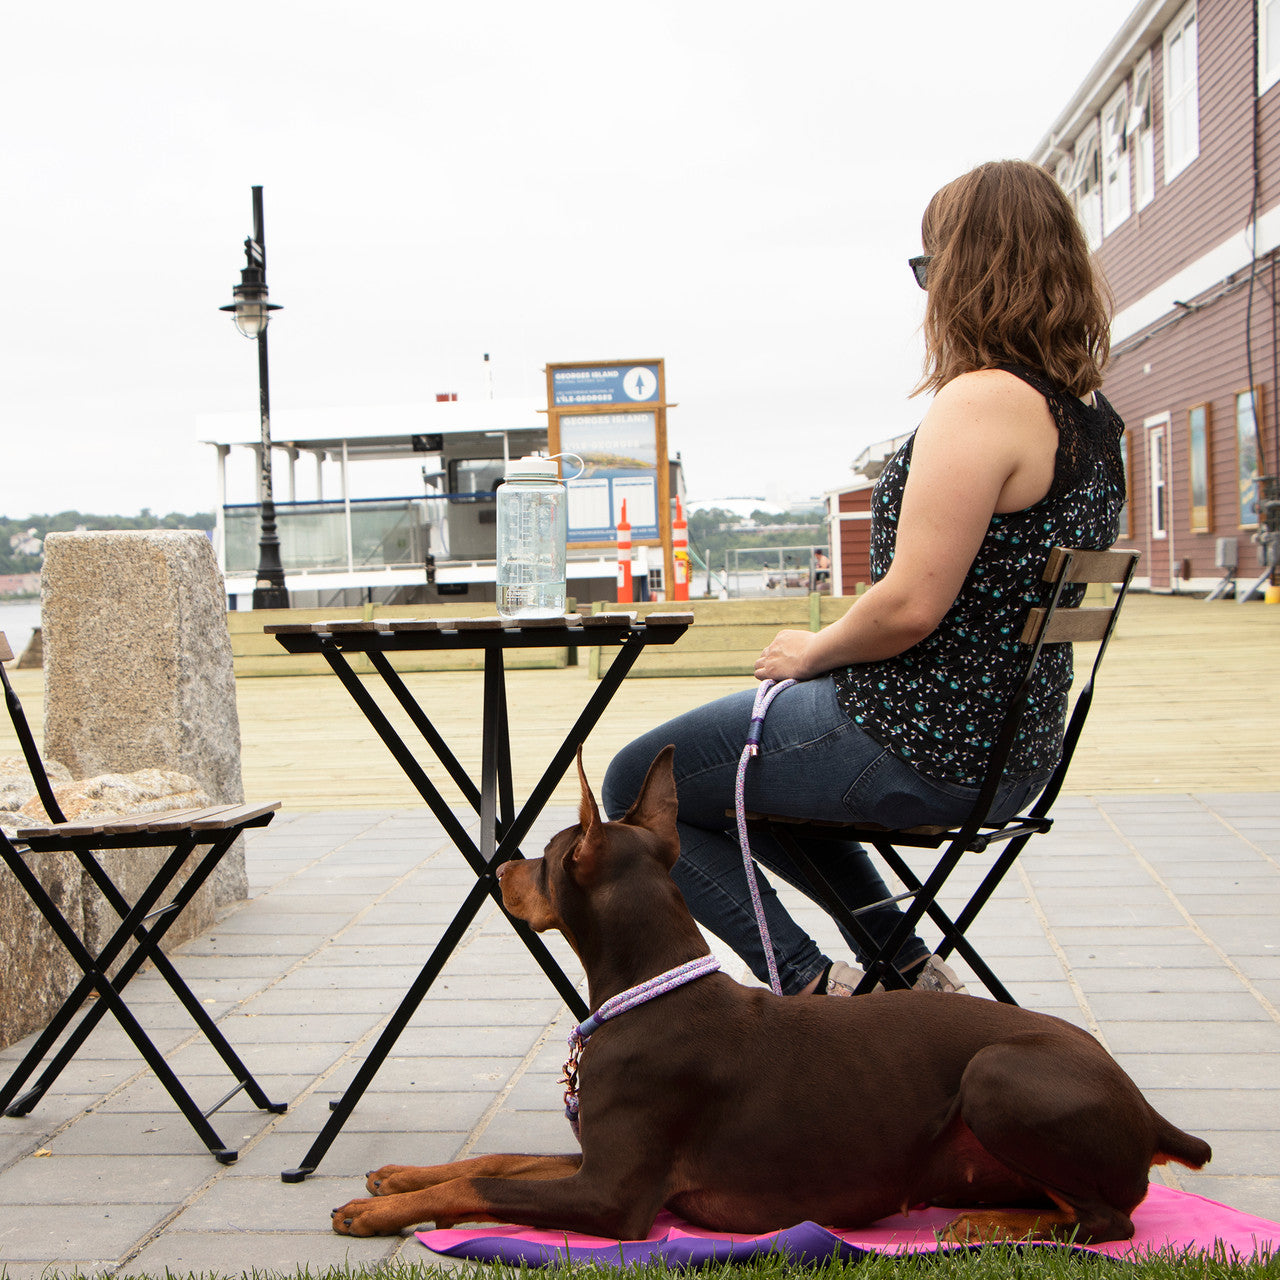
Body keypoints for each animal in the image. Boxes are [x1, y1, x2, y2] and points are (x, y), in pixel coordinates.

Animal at [332, 747, 1208, 1244]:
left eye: (546, 857)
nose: (502, 867)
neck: (650, 993)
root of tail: (1146, 1108)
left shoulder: (615, 1196)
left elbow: (487, 1185)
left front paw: (376, 1213)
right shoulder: (596, 1157)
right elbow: (494, 1159)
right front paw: (402, 1178)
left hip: (998, 1074)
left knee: (1107, 1222)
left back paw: (994, 1228)